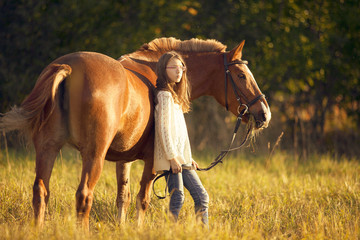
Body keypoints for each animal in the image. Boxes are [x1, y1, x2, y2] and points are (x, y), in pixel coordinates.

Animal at [0, 37, 270, 229]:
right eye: (241, 75)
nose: (264, 114)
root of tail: (68, 67)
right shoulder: (152, 161)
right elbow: (143, 199)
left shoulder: (124, 159)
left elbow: (124, 196)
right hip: (93, 156)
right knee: (84, 195)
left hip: (47, 149)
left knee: (40, 192)